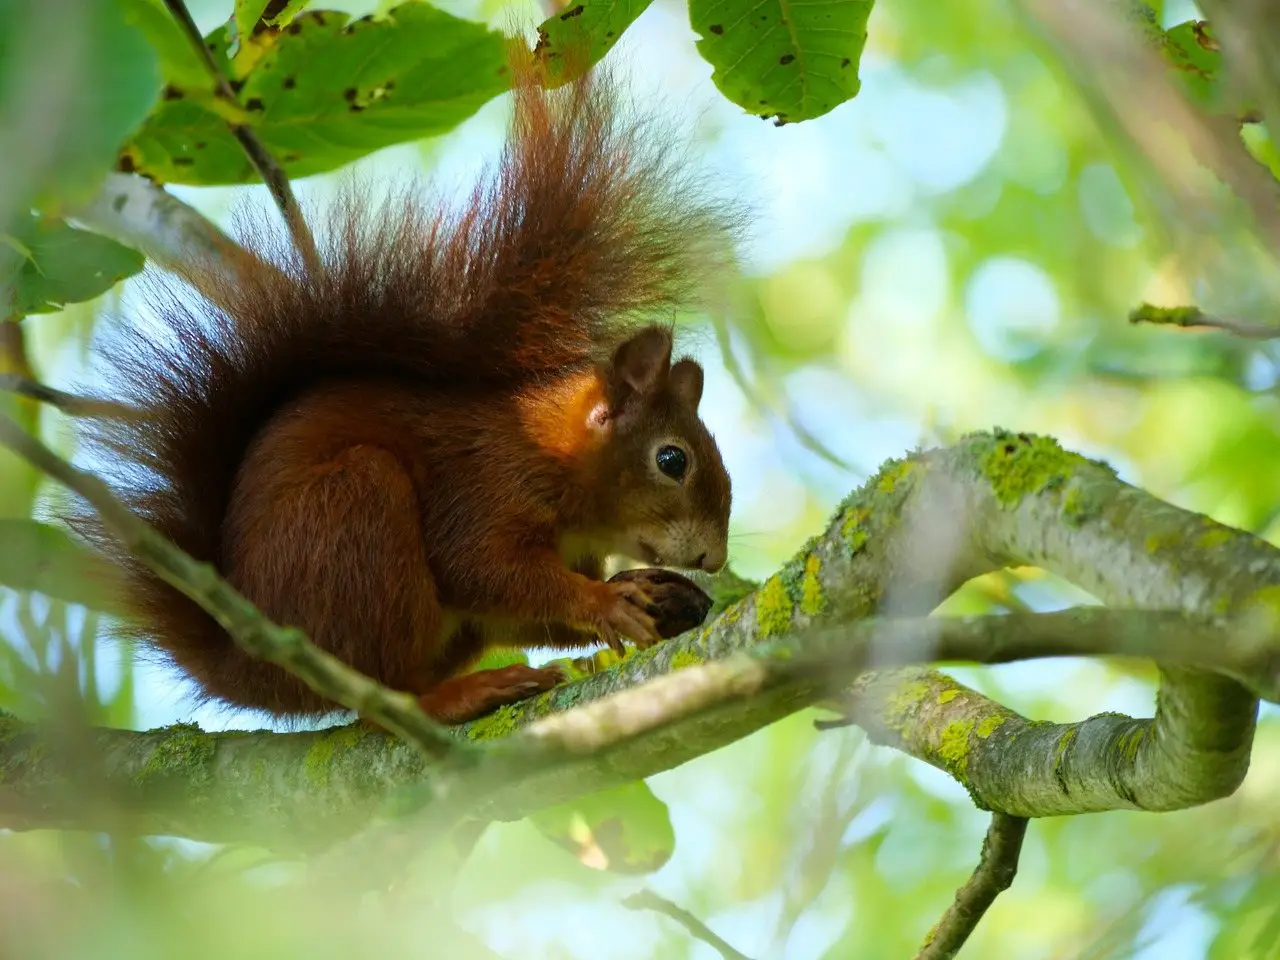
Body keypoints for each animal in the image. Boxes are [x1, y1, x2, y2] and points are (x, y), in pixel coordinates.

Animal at [71, 57, 741, 724]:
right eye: (672, 460)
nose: (714, 558)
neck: (556, 456)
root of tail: (252, 670)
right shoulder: (485, 485)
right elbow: (483, 568)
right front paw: (603, 602)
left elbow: (518, 613)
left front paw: (642, 591)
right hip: (356, 516)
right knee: (383, 692)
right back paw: (459, 694)